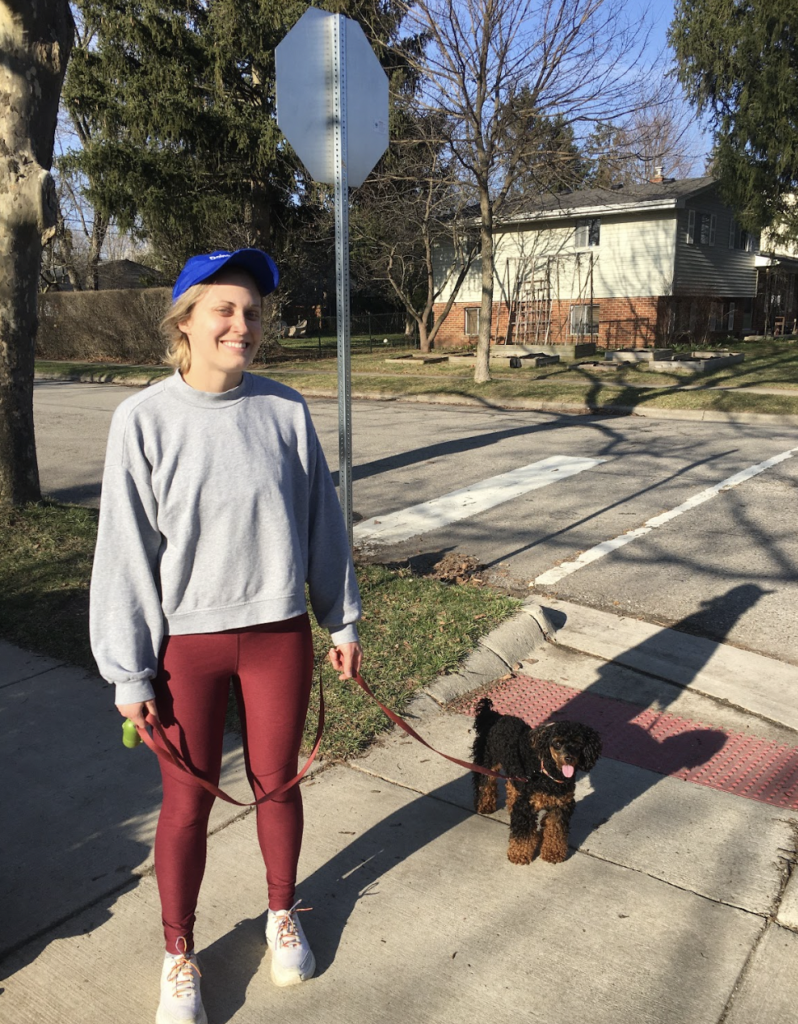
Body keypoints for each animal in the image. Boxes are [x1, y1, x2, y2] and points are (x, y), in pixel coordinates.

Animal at [471, 696, 602, 864]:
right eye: (557, 743)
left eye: (578, 743)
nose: (568, 758)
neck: (549, 776)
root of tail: (494, 716)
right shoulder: (526, 805)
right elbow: (523, 834)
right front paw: (519, 854)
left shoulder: (560, 807)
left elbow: (555, 831)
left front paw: (552, 853)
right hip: (487, 761)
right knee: (484, 783)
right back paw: (485, 805)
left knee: (511, 787)